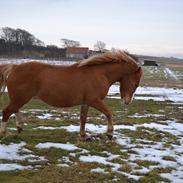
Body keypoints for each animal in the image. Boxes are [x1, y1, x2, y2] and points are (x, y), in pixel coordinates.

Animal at [0, 50, 143, 139]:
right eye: (135, 84)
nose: (127, 101)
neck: (100, 74)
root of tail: (15, 67)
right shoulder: (94, 100)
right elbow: (109, 113)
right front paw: (109, 134)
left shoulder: (86, 102)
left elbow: (83, 118)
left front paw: (83, 135)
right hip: (21, 98)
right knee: (7, 111)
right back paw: (4, 133)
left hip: (20, 98)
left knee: (14, 110)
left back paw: (19, 126)